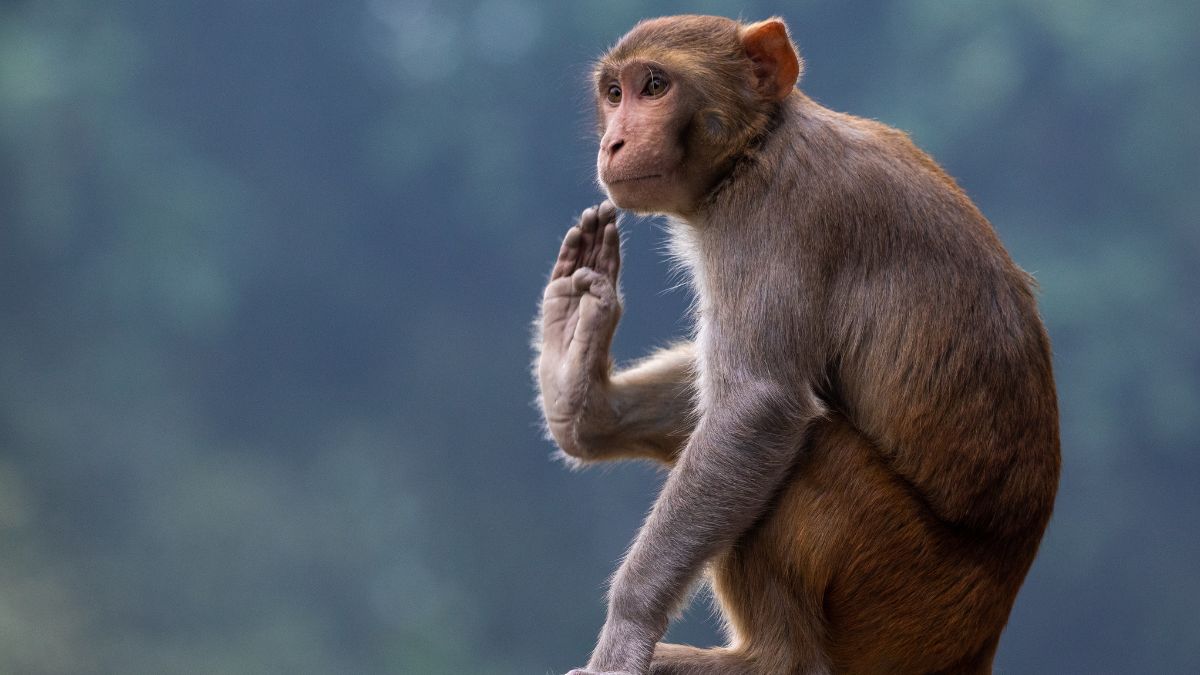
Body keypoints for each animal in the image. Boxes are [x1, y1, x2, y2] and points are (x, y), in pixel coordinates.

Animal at [535, 15, 1060, 675]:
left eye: (654, 86)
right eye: (614, 94)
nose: (614, 143)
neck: (758, 145)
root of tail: (979, 639)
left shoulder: (773, 217)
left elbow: (755, 408)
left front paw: (625, 632)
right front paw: (581, 392)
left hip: (909, 595)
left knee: (809, 445)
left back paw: (767, 659)